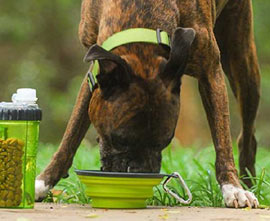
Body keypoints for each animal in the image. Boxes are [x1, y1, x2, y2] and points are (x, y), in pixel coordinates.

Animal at [35, 0, 260, 208]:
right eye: (118, 140)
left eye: (164, 142)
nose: (140, 173)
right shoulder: (94, 75)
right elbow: (71, 137)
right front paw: (43, 183)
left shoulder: (211, 72)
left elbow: (222, 141)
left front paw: (232, 187)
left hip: (244, 67)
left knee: (247, 139)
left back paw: (247, 184)